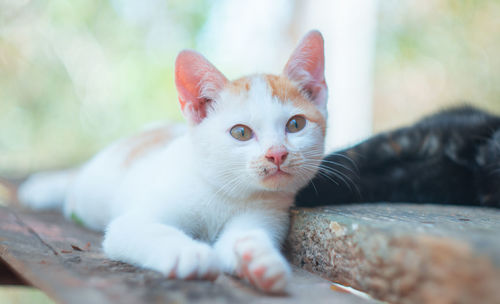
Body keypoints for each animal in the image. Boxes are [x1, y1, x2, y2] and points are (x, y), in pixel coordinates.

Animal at [18, 30, 328, 292]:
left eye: (296, 124)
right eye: (241, 132)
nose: (277, 153)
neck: (226, 192)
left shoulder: (267, 212)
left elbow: (237, 243)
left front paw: (260, 259)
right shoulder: (129, 223)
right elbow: (146, 230)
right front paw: (190, 253)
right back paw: (42, 188)